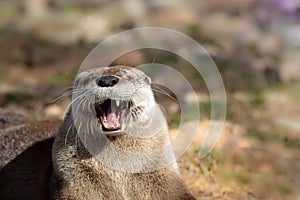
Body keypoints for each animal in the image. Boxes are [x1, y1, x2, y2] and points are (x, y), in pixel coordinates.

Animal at [0, 66, 196, 199]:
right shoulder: (73, 184)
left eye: (126, 74)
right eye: (89, 78)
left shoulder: (164, 178)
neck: (120, 171)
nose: (107, 80)